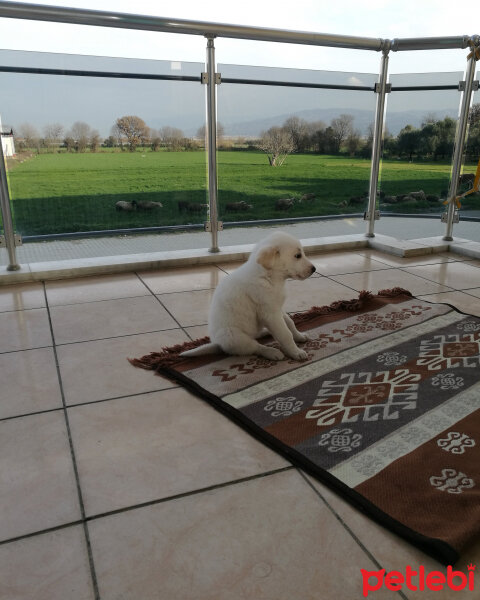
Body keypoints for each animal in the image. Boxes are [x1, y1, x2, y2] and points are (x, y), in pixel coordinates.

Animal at [182, 231, 316, 360]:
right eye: (297, 256)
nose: (314, 269)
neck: (268, 277)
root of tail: (217, 344)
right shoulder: (270, 313)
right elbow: (285, 334)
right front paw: (296, 352)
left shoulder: (277, 308)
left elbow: (290, 322)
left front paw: (299, 336)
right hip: (233, 336)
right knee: (255, 347)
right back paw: (272, 352)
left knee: (255, 337)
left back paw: (265, 332)